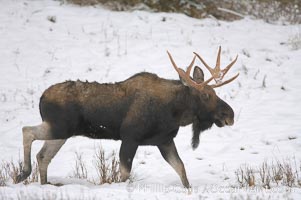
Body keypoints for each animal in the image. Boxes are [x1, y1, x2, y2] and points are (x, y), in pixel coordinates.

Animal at [16, 46, 238, 188]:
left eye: (215, 92)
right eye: (206, 95)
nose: (230, 114)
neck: (174, 112)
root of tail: (41, 98)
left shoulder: (164, 141)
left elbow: (181, 169)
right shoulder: (130, 138)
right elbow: (124, 174)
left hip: (62, 133)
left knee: (43, 155)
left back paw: (45, 184)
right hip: (60, 127)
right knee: (27, 131)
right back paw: (23, 173)